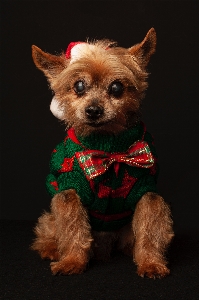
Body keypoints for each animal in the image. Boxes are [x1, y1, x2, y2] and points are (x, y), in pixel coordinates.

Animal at [31, 29, 174, 278]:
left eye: (116, 87)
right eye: (79, 86)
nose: (93, 110)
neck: (108, 149)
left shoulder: (145, 190)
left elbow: (150, 228)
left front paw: (151, 263)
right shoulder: (70, 189)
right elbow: (72, 228)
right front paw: (72, 261)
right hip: (50, 220)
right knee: (47, 231)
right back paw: (51, 249)